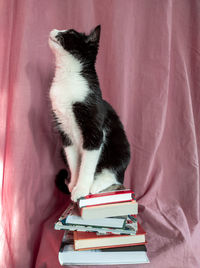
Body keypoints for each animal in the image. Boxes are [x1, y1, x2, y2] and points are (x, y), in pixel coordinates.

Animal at [48, 25, 130, 201]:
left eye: (70, 33)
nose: (54, 29)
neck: (68, 77)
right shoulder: (65, 132)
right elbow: (74, 162)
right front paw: (73, 184)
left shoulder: (94, 131)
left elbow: (87, 165)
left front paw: (81, 188)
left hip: (121, 148)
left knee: (116, 174)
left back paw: (96, 184)